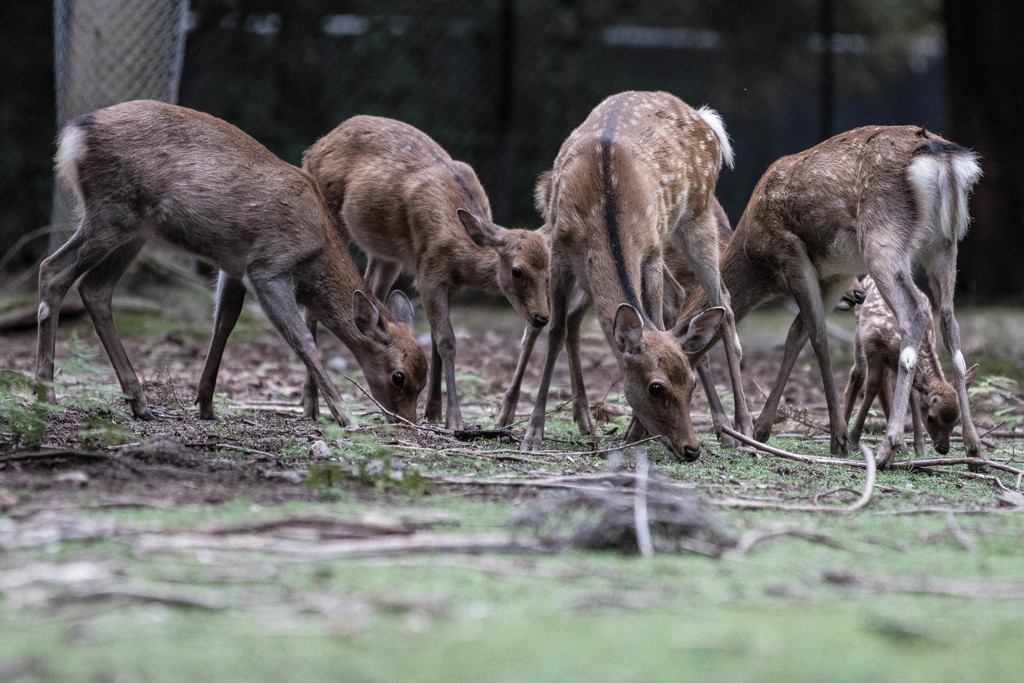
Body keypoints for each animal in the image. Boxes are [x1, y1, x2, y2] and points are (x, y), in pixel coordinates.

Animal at [37, 100, 425, 428]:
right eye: (399, 377)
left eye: (423, 378)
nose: (407, 423)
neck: (316, 253)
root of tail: (75, 135)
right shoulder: (268, 266)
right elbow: (300, 337)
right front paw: (345, 416)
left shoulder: (234, 266)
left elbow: (224, 323)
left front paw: (206, 404)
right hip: (112, 210)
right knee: (52, 270)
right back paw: (46, 393)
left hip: (134, 229)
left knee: (95, 288)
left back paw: (141, 405)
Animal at [299, 114, 552, 430]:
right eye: (517, 271)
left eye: (549, 271)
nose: (542, 317)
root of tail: (312, 149)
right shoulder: (428, 272)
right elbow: (447, 341)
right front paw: (455, 420)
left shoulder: (447, 283)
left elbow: (433, 339)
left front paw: (434, 412)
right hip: (331, 213)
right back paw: (310, 406)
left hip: (386, 254)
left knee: (370, 294)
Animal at [516, 89, 749, 458]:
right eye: (657, 387)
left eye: (690, 386)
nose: (691, 449)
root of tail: (705, 119)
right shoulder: (560, 253)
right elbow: (555, 333)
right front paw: (533, 433)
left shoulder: (650, 252)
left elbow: (651, 317)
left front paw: (635, 431)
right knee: (681, 297)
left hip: (697, 217)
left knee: (723, 301)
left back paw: (740, 428)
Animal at [843, 276, 978, 458]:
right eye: (931, 417)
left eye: (957, 420)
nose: (943, 448)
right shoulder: (873, 344)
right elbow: (872, 386)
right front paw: (854, 441)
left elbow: (912, 394)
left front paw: (919, 447)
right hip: (859, 335)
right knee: (857, 374)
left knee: (885, 384)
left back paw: (899, 444)